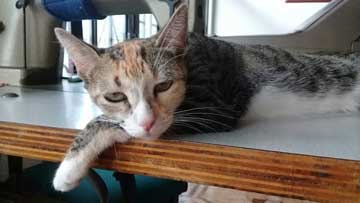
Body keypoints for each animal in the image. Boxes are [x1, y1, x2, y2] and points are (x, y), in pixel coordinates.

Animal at [52, 4, 358, 192]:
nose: (147, 123)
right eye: (115, 96)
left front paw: (68, 168)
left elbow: (111, 122)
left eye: (164, 85)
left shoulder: (216, 108)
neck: (191, 57)